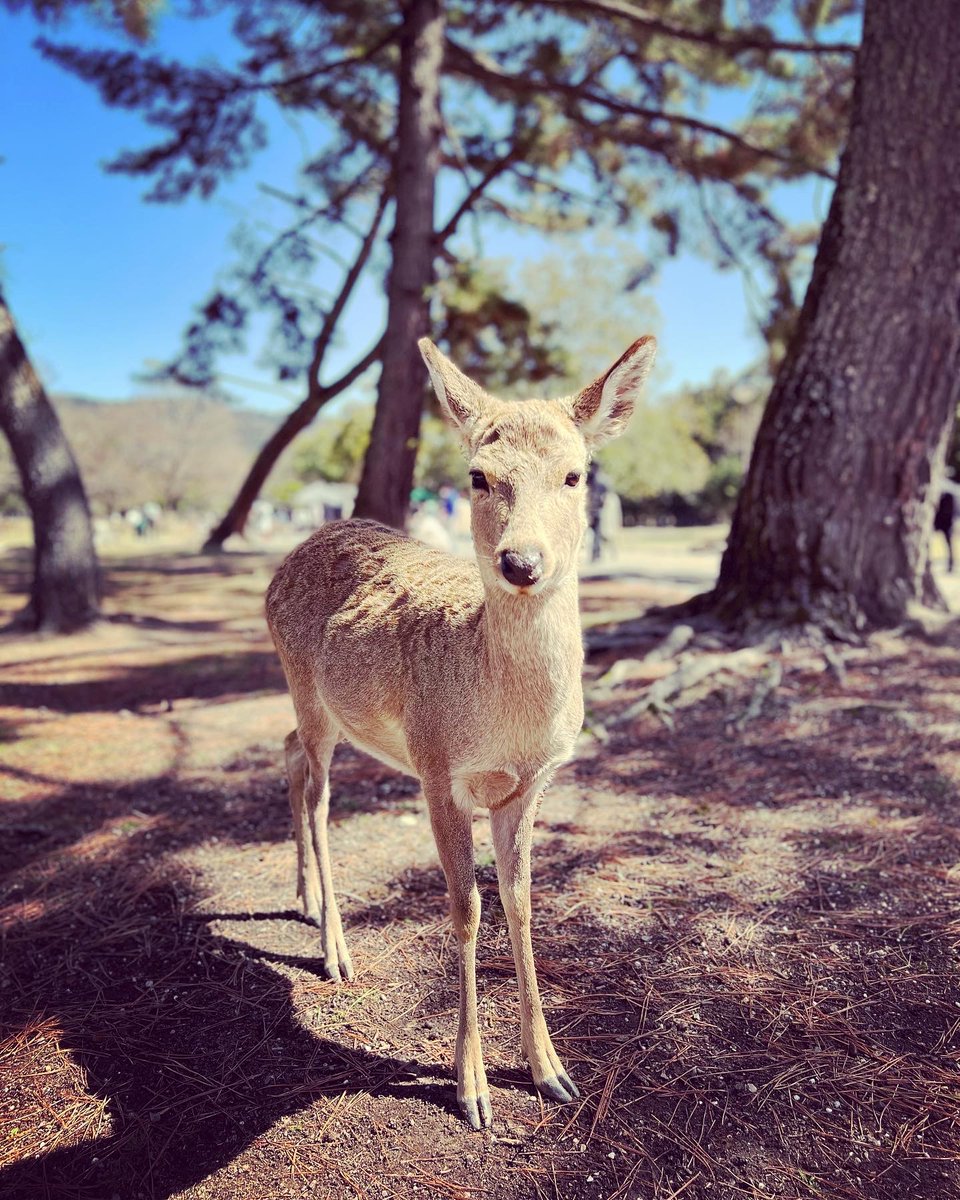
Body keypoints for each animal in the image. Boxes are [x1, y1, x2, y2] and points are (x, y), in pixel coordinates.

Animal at [264, 333, 657, 1129]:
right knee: (319, 796)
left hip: (325, 710)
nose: (521, 562)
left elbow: (523, 903)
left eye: (576, 473)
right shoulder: (439, 771)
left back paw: (306, 900)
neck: (508, 727)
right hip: (303, 684)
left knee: (289, 755)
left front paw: (552, 1072)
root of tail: (287, 560)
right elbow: (466, 909)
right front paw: (471, 1087)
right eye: (479, 474)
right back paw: (335, 950)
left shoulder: (529, 788)